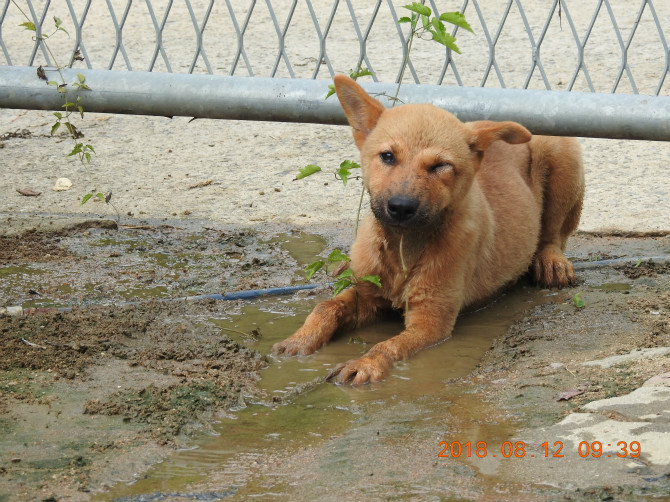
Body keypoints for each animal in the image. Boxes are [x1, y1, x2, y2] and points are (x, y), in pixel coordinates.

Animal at [272, 76, 584, 386]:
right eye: (387, 156)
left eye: (440, 165)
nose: (400, 207)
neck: (403, 246)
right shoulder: (368, 296)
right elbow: (326, 306)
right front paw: (300, 340)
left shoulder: (431, 321)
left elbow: (388, 345)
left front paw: (366, 363)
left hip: (559, 150)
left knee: (553, 235)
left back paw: (551, 261)